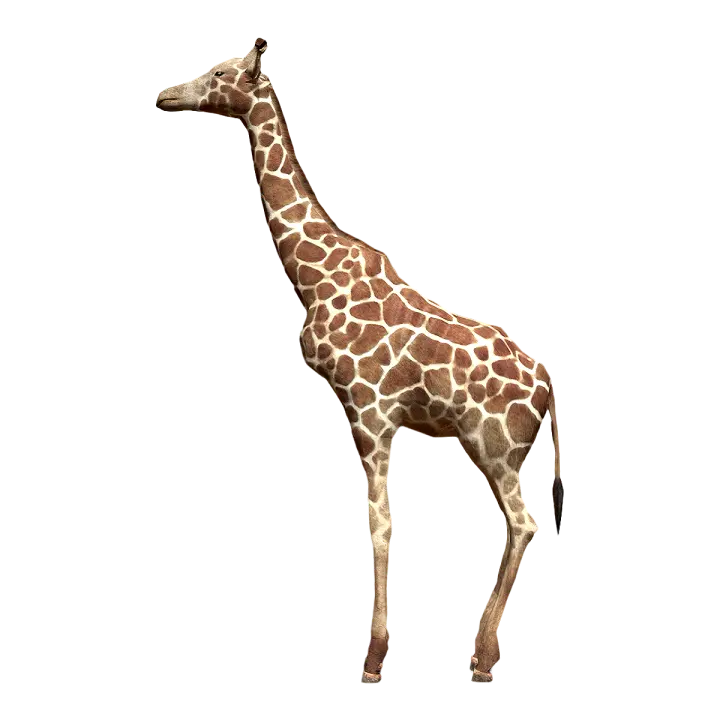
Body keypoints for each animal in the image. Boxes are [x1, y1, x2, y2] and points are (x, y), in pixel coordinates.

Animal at [152, 39, 566, 686]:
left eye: (219, 72)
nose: (163, 93)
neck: (312, 275)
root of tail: (545, 387)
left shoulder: (373, 409)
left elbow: (380, 528)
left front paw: (374, 658)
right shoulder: (353, 414)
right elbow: (375, 523)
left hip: (497, 442)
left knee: (524, 522)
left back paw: (484, 658)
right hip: (487, 445)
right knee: (511, 524)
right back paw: (476, 649)